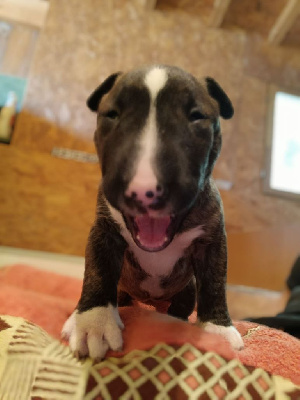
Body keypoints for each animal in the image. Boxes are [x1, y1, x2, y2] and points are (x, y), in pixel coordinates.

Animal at [62, 65, 244, 360]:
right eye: (112, 114)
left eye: (197, 117)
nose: (144, 189)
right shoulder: (104, 231)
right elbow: (97, 271)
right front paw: (93, 322)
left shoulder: (212, 240)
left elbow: (215, 282)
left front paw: (217, 330)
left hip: (187, 289)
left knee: (183, 305)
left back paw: (176, 319)